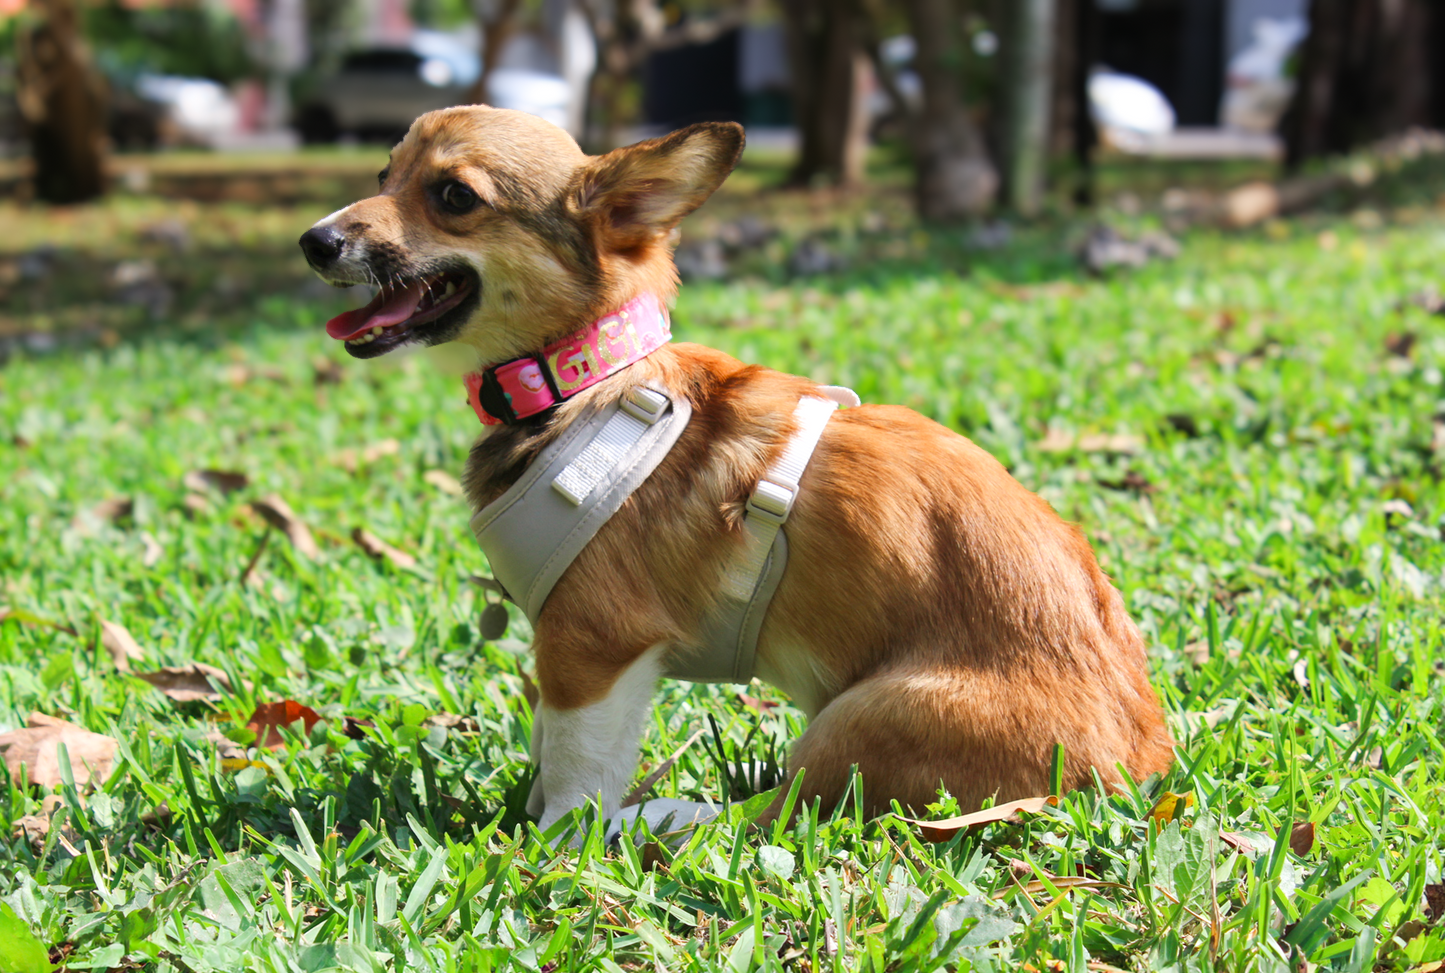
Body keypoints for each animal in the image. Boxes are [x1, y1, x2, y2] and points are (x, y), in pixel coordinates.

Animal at [302, 104, 1173, 832]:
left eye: (454, 196)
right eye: (384, 175)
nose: (315, 240)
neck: (589, 378)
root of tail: (1141, 766)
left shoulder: (593, 646)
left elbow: (575, 775)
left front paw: (551, 845)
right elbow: (548, 748)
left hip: (859, 721)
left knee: (778, 813)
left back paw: (665, 816)